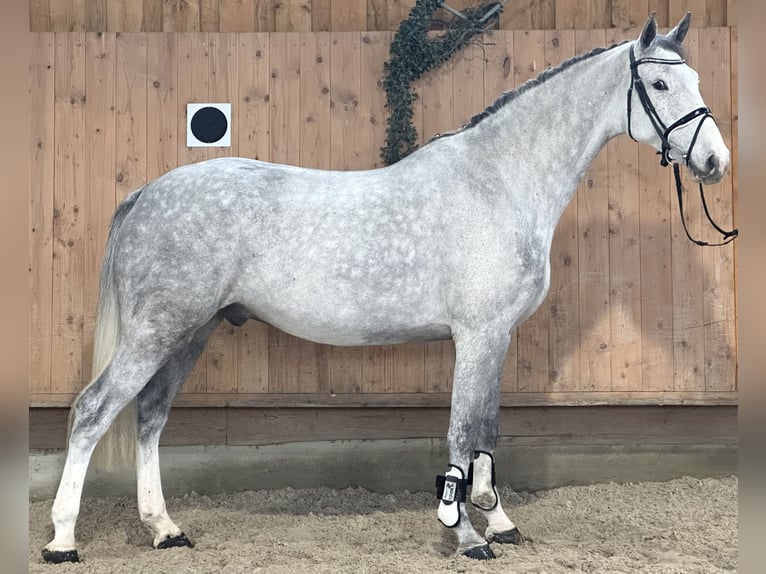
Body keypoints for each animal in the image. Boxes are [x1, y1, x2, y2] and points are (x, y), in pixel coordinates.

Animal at [42, 13, 730, 563]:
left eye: (699, 81)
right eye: (660, 85)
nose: (715, 162)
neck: (498, 181)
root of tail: (146, 192)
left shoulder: (497, 338)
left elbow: (486, 432)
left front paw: (500, 522)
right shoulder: (477, 334)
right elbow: (461, 432)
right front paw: (468, 537)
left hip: (191, 330)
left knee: (150, 415)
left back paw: (165, 530)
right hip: (158, 330)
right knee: (94, 411)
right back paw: (63, 540)